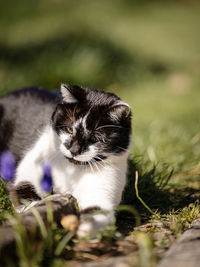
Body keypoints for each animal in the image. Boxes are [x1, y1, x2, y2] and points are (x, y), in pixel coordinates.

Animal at [0, 85, 132, 238]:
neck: (71, 169)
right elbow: (24, 189)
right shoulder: (30, 167)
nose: (74, 150)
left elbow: (98, 208)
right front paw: (37, 214)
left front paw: (86, 226)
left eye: (95, 138)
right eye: (69, 129)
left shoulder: (105, 185)